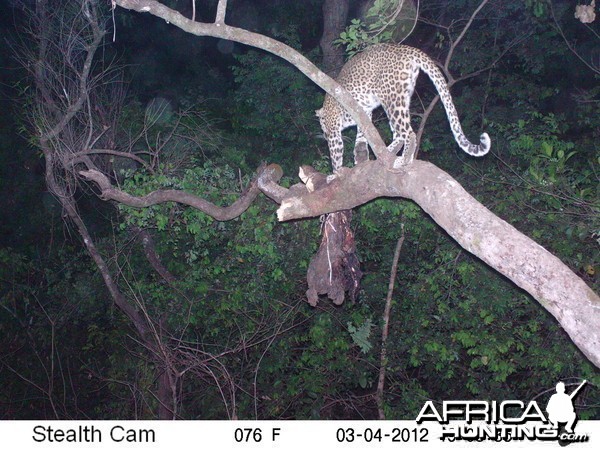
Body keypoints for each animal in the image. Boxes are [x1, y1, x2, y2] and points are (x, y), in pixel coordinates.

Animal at [316, 44, 490, 171]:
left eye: (323, 127)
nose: (323, 135)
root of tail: (407, 49)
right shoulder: (363, 112)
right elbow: (361, 135)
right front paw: (361, 157)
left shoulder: (334, 131)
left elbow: (335, 152)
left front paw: (335, 174)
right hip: (402, 97)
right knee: (400, 133)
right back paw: (392, 152)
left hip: (391, 98)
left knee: (408, 133)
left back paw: (404, 160)